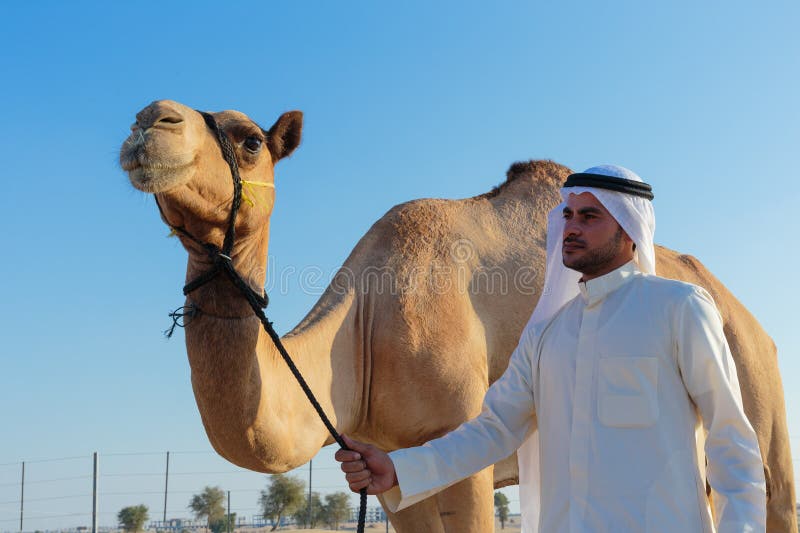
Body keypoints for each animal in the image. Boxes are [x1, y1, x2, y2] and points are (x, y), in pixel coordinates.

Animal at [120, 100, 796, 532]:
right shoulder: (394, 464)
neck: (365, 329)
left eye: (250, 139)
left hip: (756, 397)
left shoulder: (461, 441)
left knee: (769, 491)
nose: (149, 120)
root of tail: (746, 315)